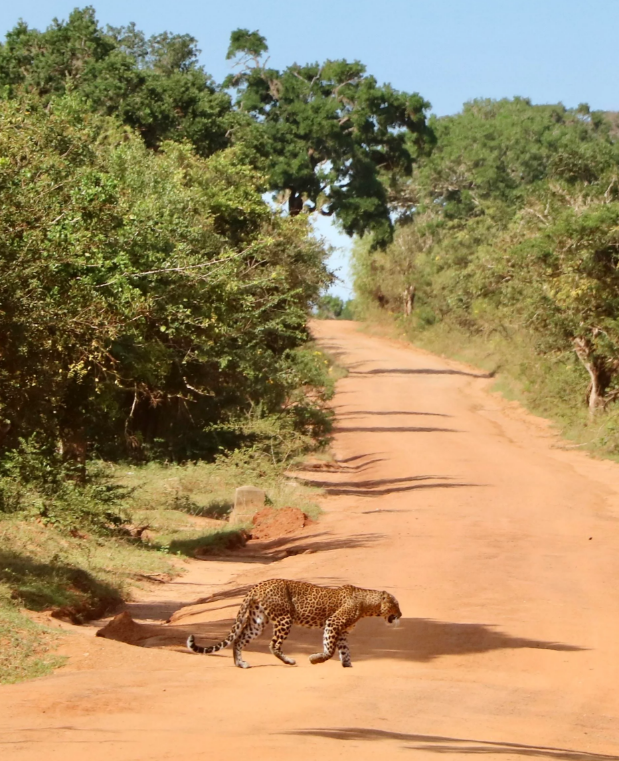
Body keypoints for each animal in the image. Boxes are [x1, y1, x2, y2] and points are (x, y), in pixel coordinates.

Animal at [186, 578, 401, 669]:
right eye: (396, 604)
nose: (401, 614)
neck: (367, 604)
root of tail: (258, 585)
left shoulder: (341, 631)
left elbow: (344, 649)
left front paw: (347, 665)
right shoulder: (333, 623)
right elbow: (330, 649)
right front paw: (316, 659)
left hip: (257, 621)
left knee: (239, 640)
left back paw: (241, 663)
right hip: (284, 618)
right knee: (273, 644)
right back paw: (289, 661)